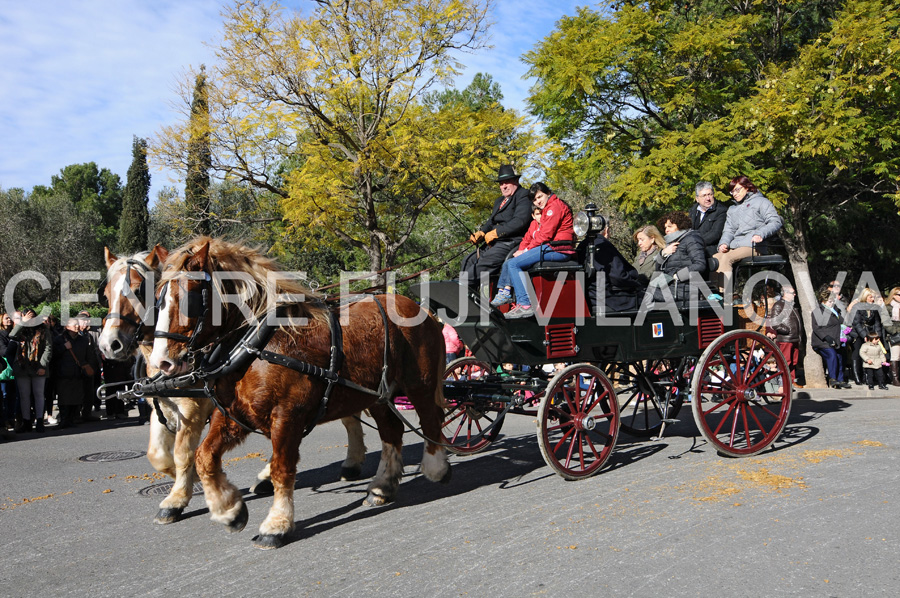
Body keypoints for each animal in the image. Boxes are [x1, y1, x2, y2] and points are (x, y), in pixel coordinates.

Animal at [96, 247, 368, 524]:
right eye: (105, 293)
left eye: (139, 289)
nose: (109, 344)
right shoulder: (161, 406)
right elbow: (157, 455)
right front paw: (190, 483)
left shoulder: (193, 410)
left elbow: (183, 453)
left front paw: (178, 497)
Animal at [150, 238, 454, 548]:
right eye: (157, 300)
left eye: (189, 298)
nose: (160, 363)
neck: (258, 344)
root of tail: (421, 310)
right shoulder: (235, 415)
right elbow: (203, 456)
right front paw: (228, 510)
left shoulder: (287, 416)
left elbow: (281, 468)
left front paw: (277, 523)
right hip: (378, 394)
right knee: (392, 431)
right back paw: (382, 486)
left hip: (420, 385)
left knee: (430, 419)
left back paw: (435, 466)